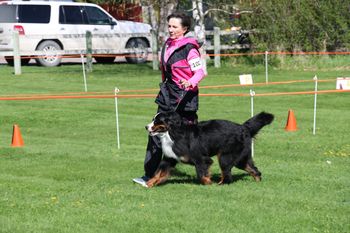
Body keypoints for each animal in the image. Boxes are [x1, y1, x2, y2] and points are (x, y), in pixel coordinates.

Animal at [145, 111, 274, 187]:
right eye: (153, 119)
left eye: (157, 121)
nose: (146, 127)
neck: (173, 133)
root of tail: (243, 127)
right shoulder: (169, 159)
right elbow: (158, 173)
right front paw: (149, 183)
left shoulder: (201, 159)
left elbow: (201, 174)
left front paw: (208, 183)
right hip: (241, 158)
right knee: (254, 170)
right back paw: (258, 182)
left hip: (225, 156)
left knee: (227, 175)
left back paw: (220, 184)